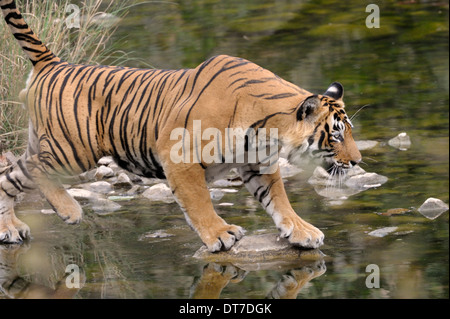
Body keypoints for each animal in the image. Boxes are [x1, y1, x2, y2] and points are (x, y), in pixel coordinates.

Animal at [0, 0, 360, 252]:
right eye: (336, 134)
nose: (357, 162)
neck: (268, 131)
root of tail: (53, 63)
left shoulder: (258, 164)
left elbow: (278, 200)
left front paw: (301, 231)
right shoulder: (180, 157)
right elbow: (199, 202)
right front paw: (220, 234)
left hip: (47, 145)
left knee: (10, 175)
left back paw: (10, 229)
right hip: (72, 150)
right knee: (34, 169)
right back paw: (70, 211)